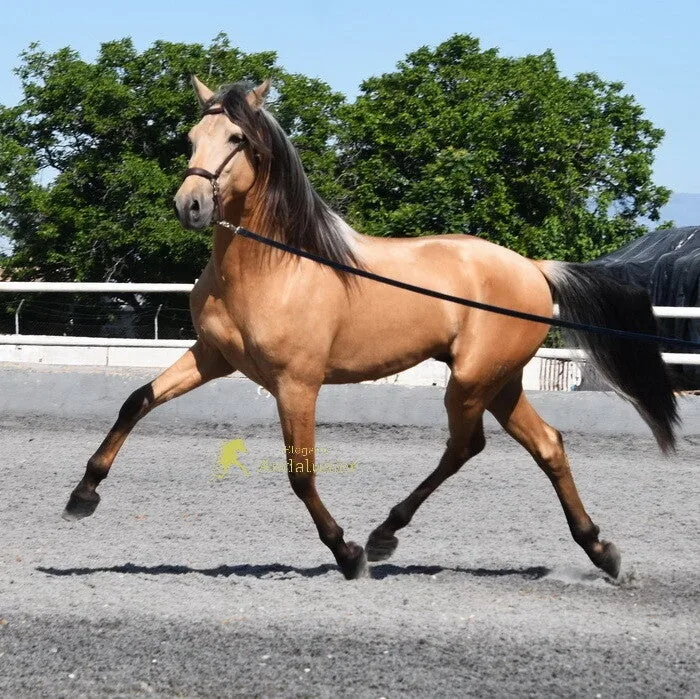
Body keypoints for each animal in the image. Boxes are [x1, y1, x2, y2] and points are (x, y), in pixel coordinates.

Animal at [63, 77, 679, 580]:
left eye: (237, 137)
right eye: (192, 136)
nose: (189, 205)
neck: (274, 266)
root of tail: (533, 268)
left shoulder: (297, 384)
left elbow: (301, 473)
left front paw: (346, 552)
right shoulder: (212, 357)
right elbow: (137, 400)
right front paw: (82, 495)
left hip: (472, 381)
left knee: (466, 444)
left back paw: (383, 537)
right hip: (500, 382)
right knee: (545, 445)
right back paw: (600, 550)